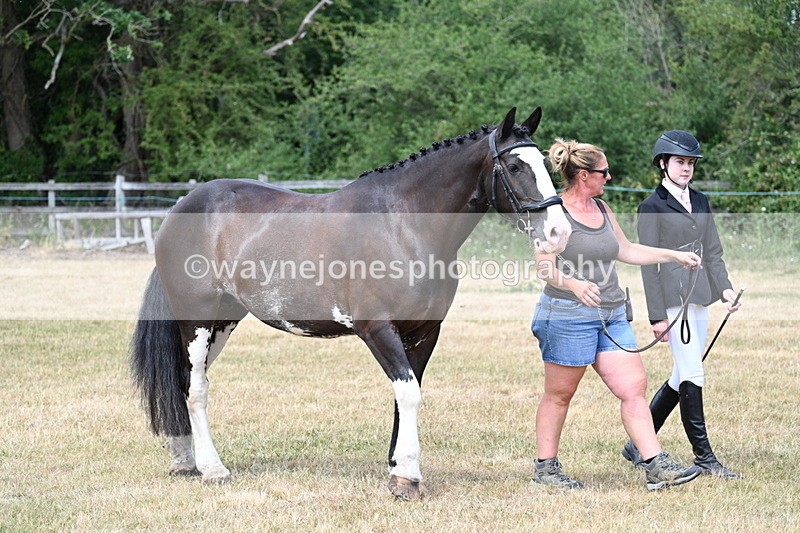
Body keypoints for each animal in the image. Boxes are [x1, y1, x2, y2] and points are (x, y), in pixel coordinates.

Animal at [130, 107, 571, 500]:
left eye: (545, 164)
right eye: (515, 166)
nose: (559, 232)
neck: (403, 225)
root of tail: (180, 208)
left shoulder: (424, 333)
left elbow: (406, 396)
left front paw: (397, 467)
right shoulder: (377, 329)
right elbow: (409, 394)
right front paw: (407, 478)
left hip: (223, 321)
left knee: (184, 379)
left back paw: (184, 461)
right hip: (197, 319)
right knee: (197, 388)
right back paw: (213, 469)